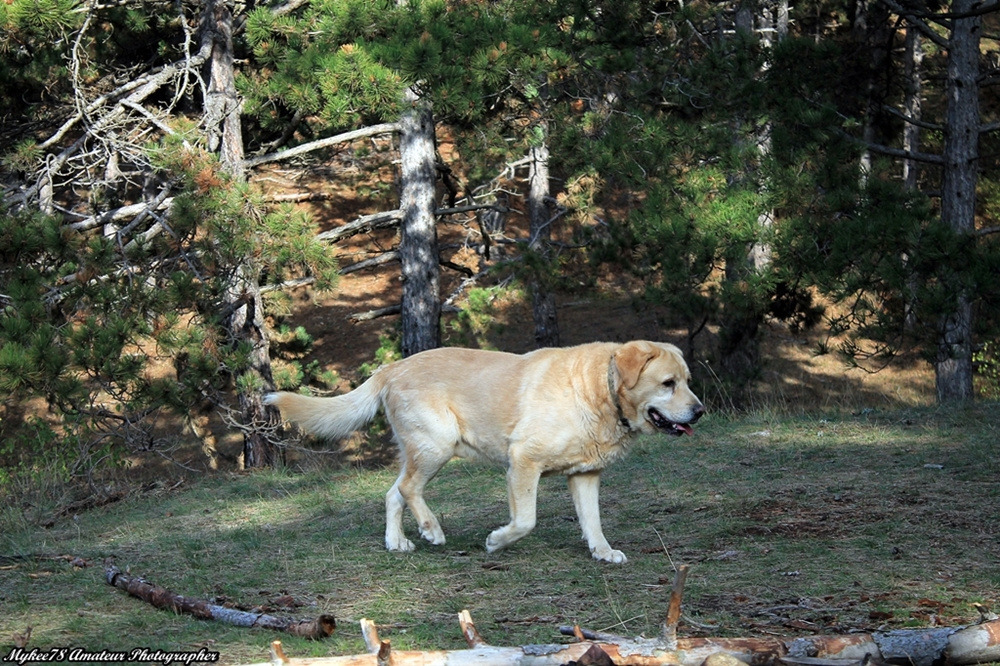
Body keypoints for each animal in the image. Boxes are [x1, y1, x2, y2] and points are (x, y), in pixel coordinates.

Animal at [266, 340, 704, 564]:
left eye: (686, 380)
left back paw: (398, 542)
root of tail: (390, 367)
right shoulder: (523, 462)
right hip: (437, 445)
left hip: (421, 451)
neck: (600, 389)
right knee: (407, 490)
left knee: (393, 493)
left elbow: (593, 520)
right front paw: (496, 541)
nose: (699, 411)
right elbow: (525, 520)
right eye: (667, 383)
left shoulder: (584, 475)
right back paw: (431, 529)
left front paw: (602, 551)